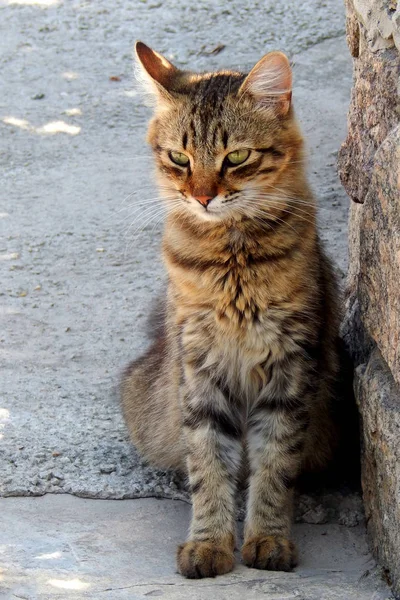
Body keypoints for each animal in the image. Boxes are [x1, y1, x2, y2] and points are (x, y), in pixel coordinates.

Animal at [120, 41, 340, 576]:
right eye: (179, 158)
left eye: (235, 157)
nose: (202, 197)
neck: (232, 260)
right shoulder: (199, 369)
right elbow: (209, 465)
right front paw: (209, 545)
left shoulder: (290, 370)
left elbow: (275, 467)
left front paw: (268, 539)